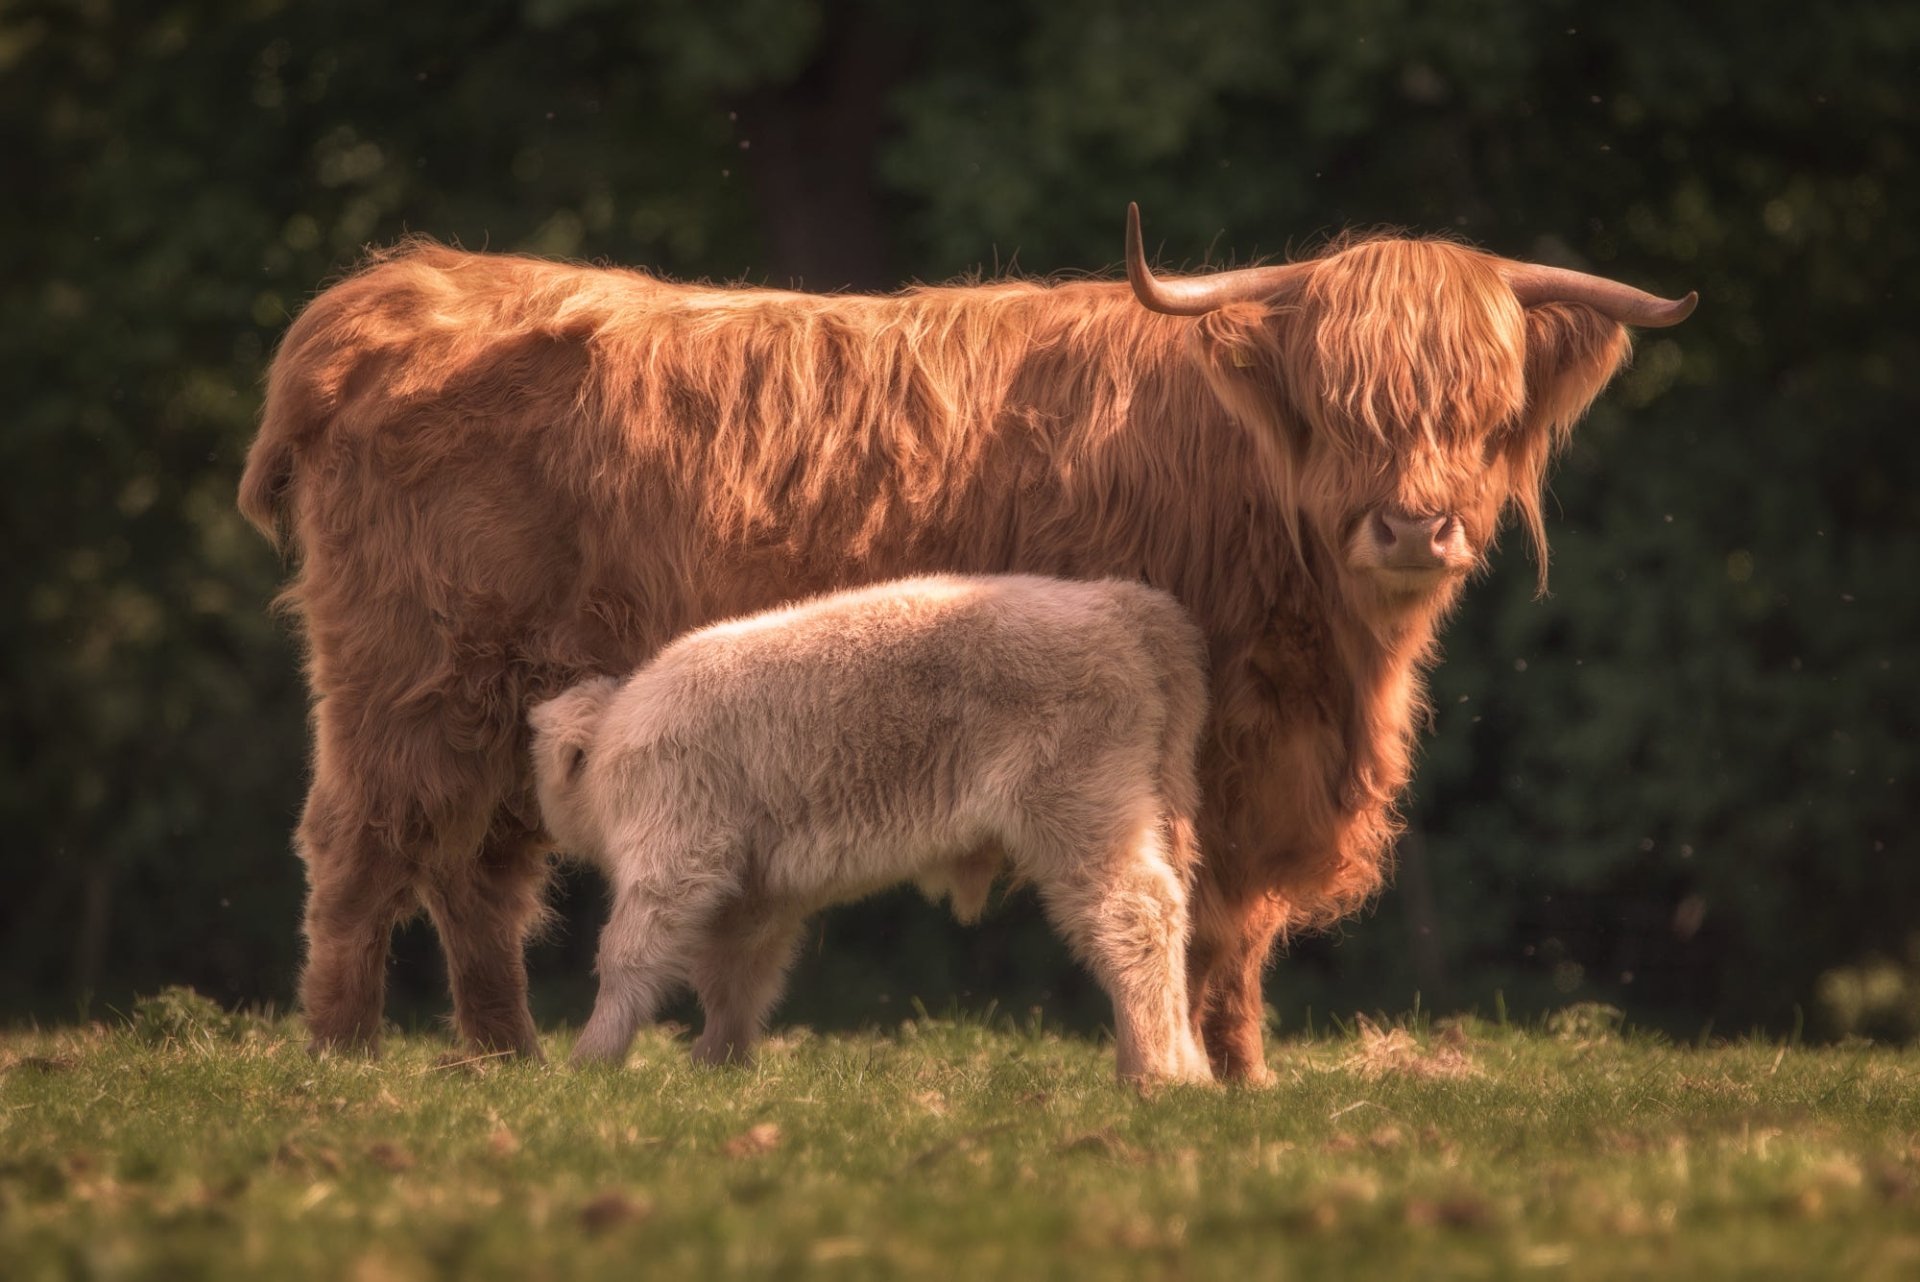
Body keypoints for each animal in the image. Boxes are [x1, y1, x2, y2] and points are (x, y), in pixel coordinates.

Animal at [528, 574, 1213, 1084]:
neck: (615, 735)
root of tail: (1121, 604)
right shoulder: (752, 897)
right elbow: (734, 978)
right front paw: (717, 1066)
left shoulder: (675, 858)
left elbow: (627, 955)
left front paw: (590, 1061)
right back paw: (1186, 1070)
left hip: (1083, 816)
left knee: (1135, 914)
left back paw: (1151, 1073)